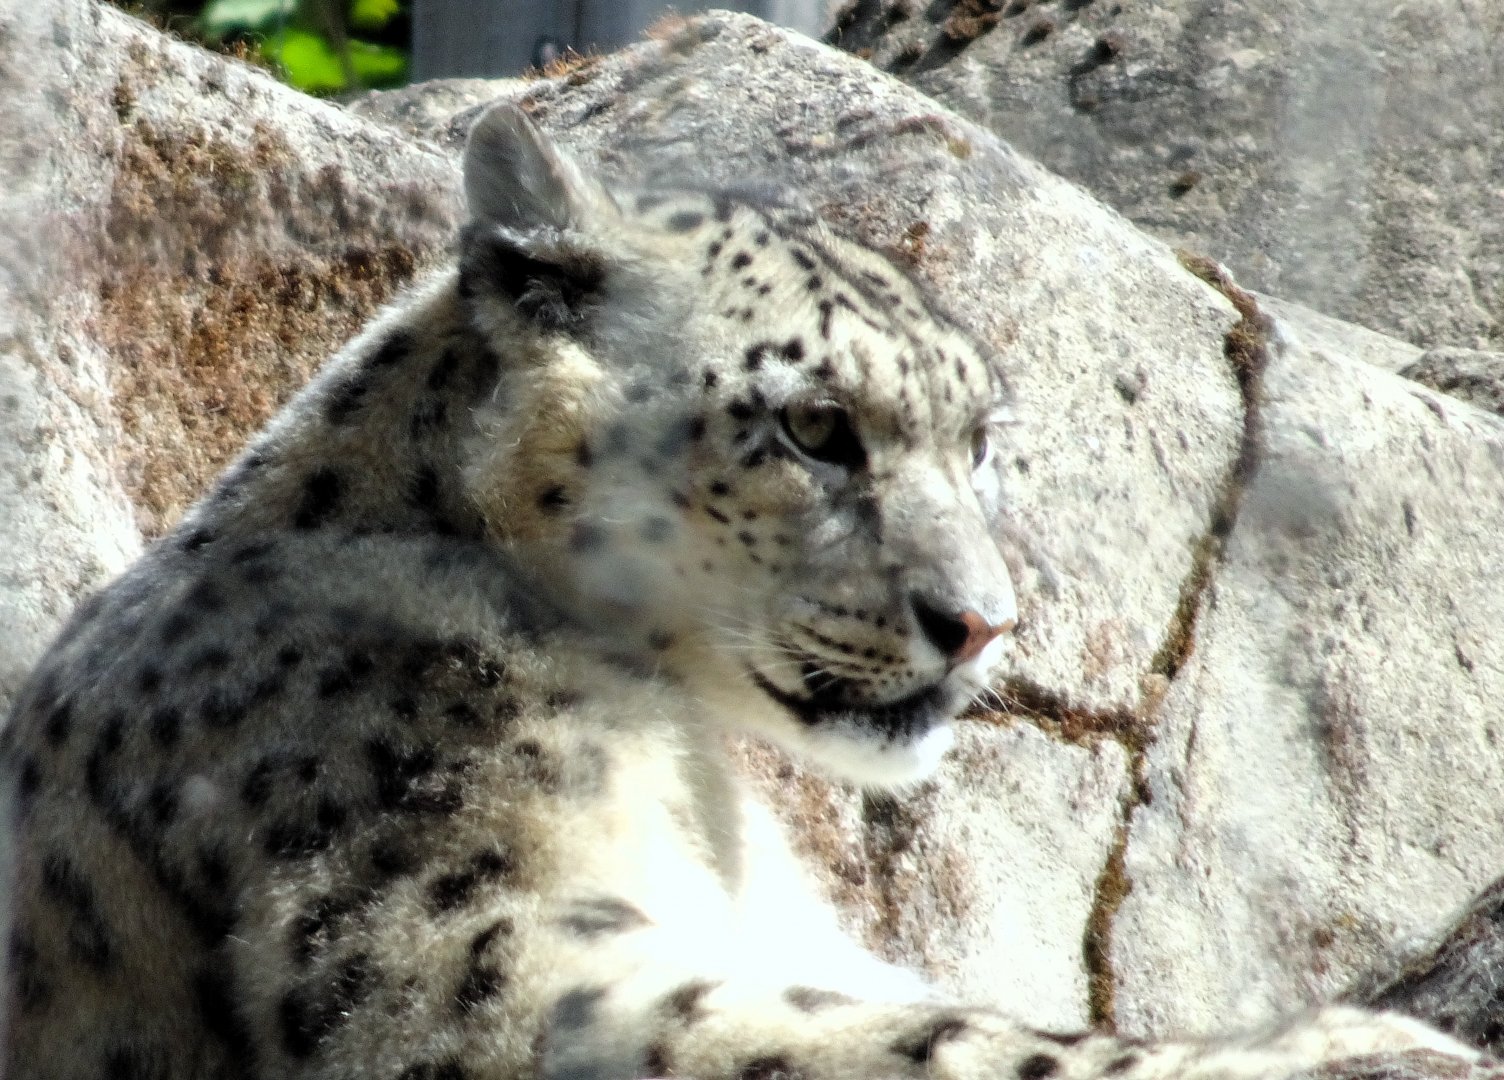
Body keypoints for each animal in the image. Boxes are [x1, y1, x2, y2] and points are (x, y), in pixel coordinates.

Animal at [1, 101, 1494, 1080]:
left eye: (978, 438)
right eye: (817, 426)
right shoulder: (454, 939)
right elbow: (900, 1037)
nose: (983, 624)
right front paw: (1356, 1046)